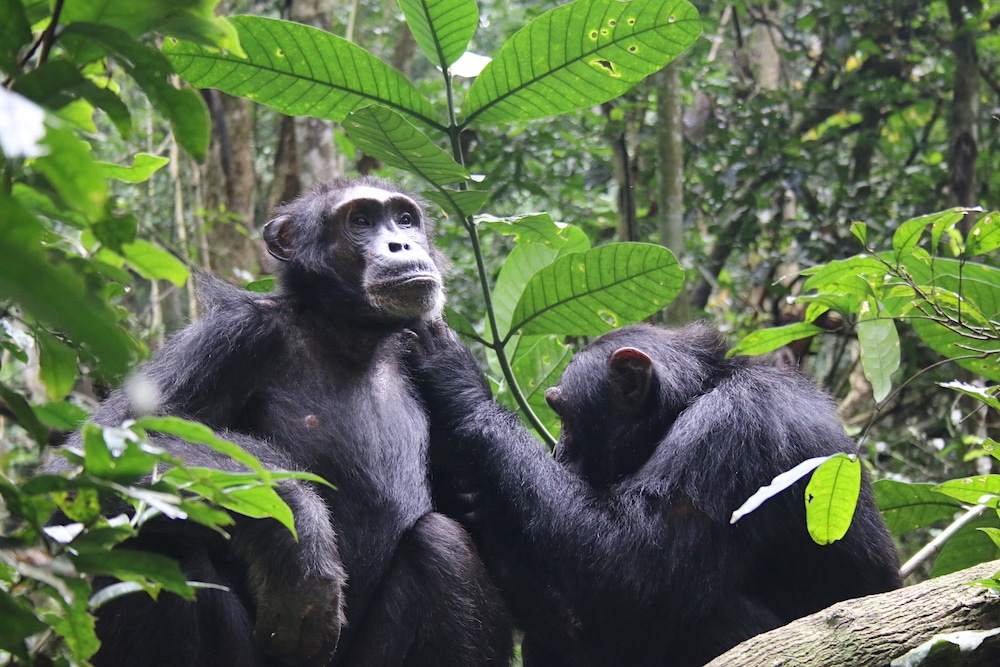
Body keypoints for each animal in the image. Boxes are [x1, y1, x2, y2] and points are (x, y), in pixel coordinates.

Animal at [47, 177, 512, 667]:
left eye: (404, 219)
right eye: (361, 220)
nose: (400, 242)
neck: (349, 334)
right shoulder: (231, 335)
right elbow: (87, 460)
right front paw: (298, 537)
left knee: (443, 543)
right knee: (153, 541)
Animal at [404, 320, 900, 664]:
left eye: (563, 414)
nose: (559, 452)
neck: (693, 398)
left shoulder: (732, 433)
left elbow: (638, 567)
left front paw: (457, 383)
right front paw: (471, 503)